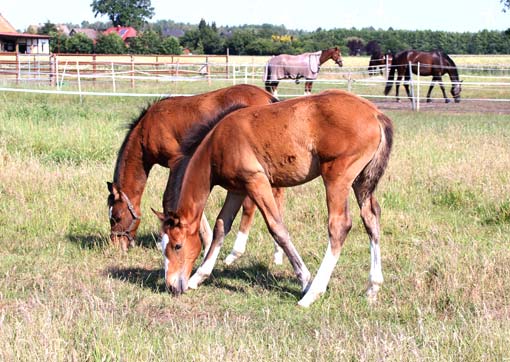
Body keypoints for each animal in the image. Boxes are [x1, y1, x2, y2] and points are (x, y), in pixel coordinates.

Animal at [108, 85, 284, 266]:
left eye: (116, 217)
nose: (116, 245)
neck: (148, 127)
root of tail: (268, 97)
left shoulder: (175, 161)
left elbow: (168, 199)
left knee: (250, 205)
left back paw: (234, 254)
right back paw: (277, 255)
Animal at [155, 89, 394, 306]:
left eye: (176, 245)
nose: (171, 286)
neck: (217, 143)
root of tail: (375, 114)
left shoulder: (256, 181)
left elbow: (277, 227)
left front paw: (305, 279)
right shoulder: (237, 190)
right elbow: (221, 226)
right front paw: (199, 277)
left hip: (337, 178)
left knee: (339, 226)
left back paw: (312, 293)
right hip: (362, 181)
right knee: (371, 218)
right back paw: (373, 288)